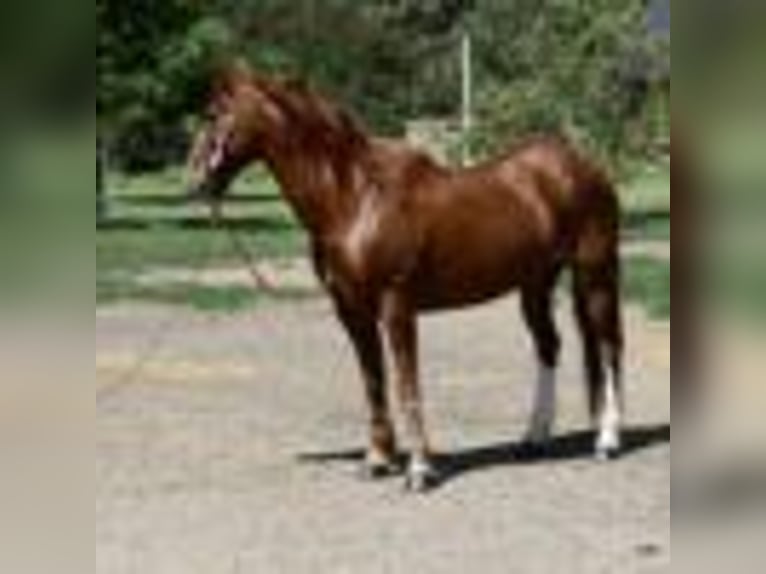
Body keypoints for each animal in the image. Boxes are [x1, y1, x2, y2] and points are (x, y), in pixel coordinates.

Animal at [186, 64, 625, 491]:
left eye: (212, 115)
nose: (194, 181)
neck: (355, 199)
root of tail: (585, 166)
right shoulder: (352, 311)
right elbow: (374, 382)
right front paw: (377, 460)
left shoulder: (396, 305)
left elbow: (406, 382)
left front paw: (419, 470)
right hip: (534, 286)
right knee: (549, 347)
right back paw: (534, 438)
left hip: (595, 275)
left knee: (607, 348)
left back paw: (607, 440)